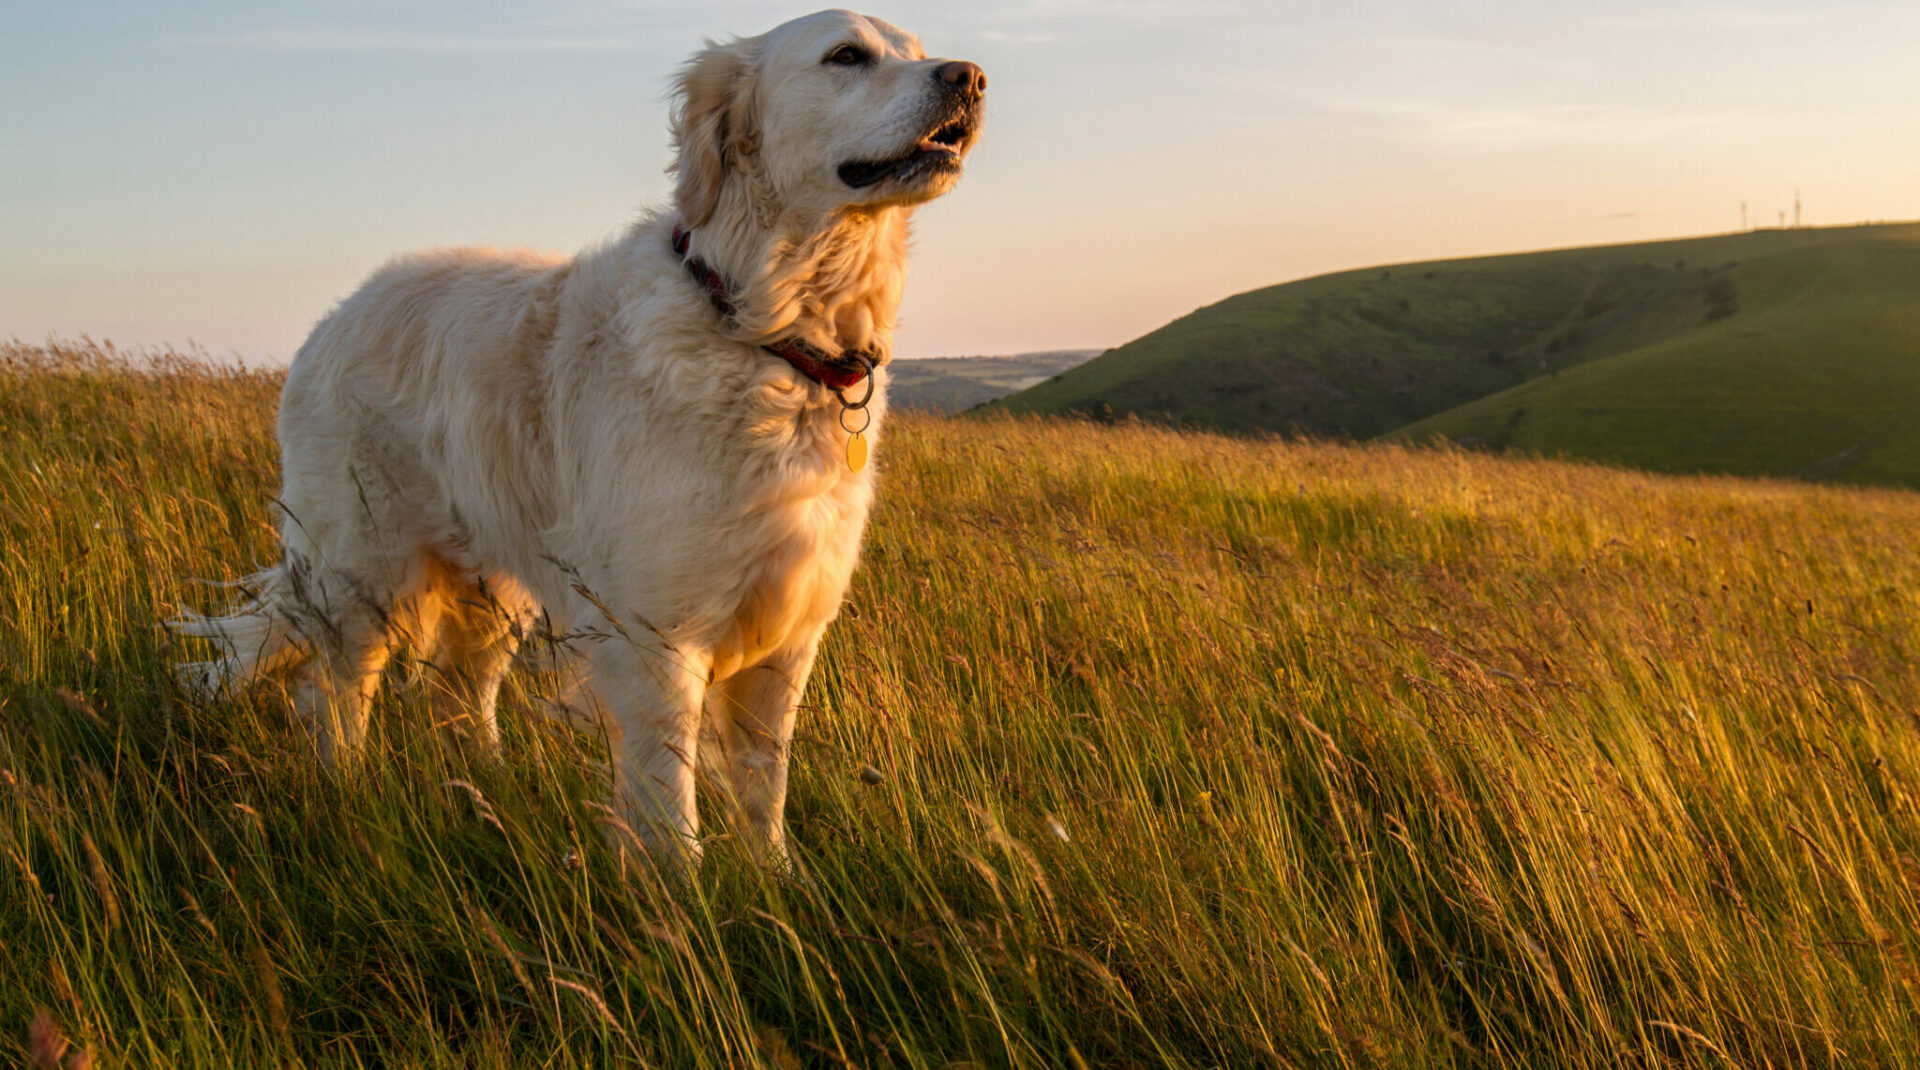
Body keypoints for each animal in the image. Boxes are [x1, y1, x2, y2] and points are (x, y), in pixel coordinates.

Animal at [170, 10, 983, 868]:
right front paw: (684, 895)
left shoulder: (787, 638)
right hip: (363, 569)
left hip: (492, 589)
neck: (765, 328)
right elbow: (671, 804)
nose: (969, 77)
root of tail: (334, 315)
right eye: (846, 55)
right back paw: (349, 795)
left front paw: (776, 882)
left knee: (459, 694)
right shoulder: (658, 636)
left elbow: (765, 789)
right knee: (337, 689)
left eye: (919, 52)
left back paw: (488, 795)